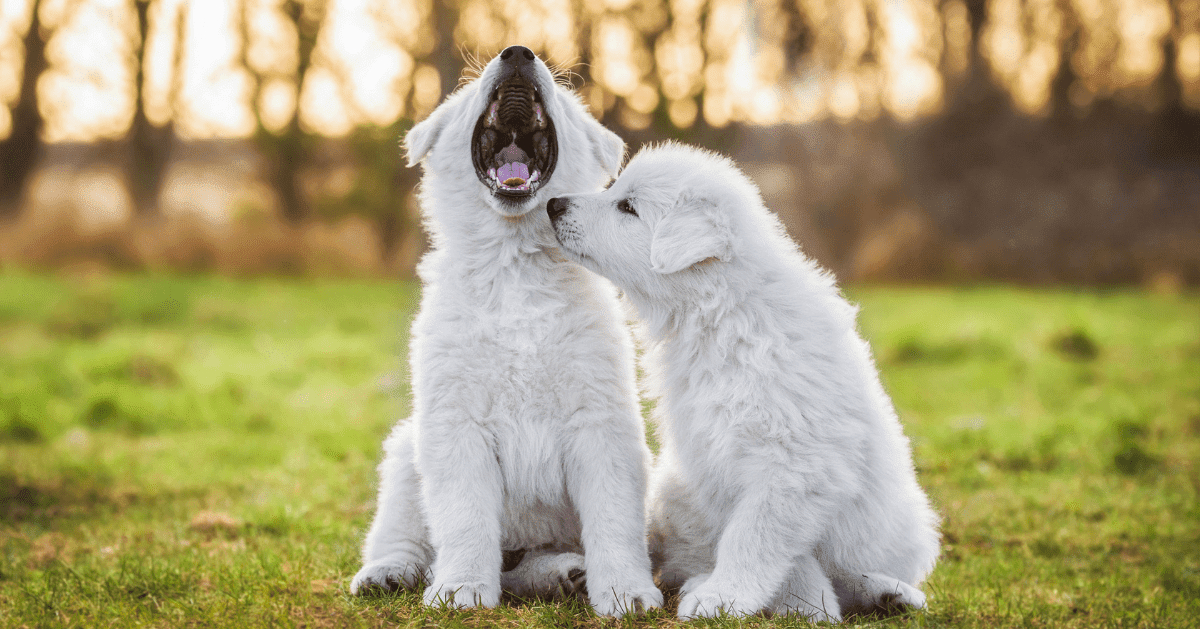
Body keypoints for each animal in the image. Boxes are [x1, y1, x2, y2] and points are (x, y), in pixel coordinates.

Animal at [348, 46, 667, 614]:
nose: (517, 52)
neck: (515, 265)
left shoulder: (600, 422)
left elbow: (614, 519)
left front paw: (626, 592)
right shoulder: (456, 423)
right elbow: (465, 518)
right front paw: (461, 588)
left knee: (528, 568)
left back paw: (565, 574)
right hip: (406, 454)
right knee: (402, 535)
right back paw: (388, 573)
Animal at [549, 143, 940, 624]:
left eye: (628, 207)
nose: (553, 204)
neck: (720, 315)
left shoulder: (796, 464)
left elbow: (755, 538)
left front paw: (726, 599)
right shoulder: (715, 456)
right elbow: (774, 550)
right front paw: (800, 605)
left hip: (903, 524)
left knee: (851, 568)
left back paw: (887, 591)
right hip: (676, 493)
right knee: (684, 560)